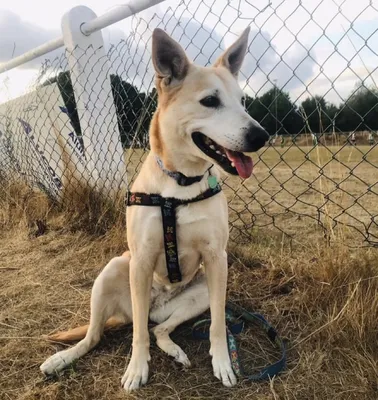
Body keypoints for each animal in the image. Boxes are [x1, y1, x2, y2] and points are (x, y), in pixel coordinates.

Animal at [39, 26, 268, 392]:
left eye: (242, 101)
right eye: (210, 101)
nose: (262, 136)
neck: (181, 184)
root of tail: (157, 305)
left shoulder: (217, 259)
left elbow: (218, 324)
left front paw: (222, 361)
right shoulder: (142, 258)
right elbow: (137, 337)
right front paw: (137, 368)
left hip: (201, 292)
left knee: (158, 329)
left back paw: (174, 350)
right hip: (114, 271)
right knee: (102, 334)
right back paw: (61, 358)